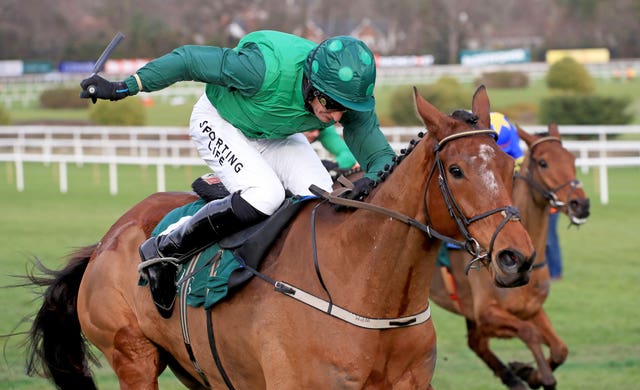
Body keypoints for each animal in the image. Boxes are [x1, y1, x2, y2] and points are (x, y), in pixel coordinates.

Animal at [25, 86, 536, 390]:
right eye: (456, 170)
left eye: (509, 164)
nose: (517, 257)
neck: (366, 285)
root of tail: (107, 241)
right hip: (133, 358)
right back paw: (158, 253)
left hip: (198, 370)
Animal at [430, 122, 592, 390]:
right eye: (543, 162)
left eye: (571, 158)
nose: (581, 204)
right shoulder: (486, 314)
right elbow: (529, 333)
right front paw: (535, 373)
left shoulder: (530, 309)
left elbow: (560, 349)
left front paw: (527, 372)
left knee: (476, 343)